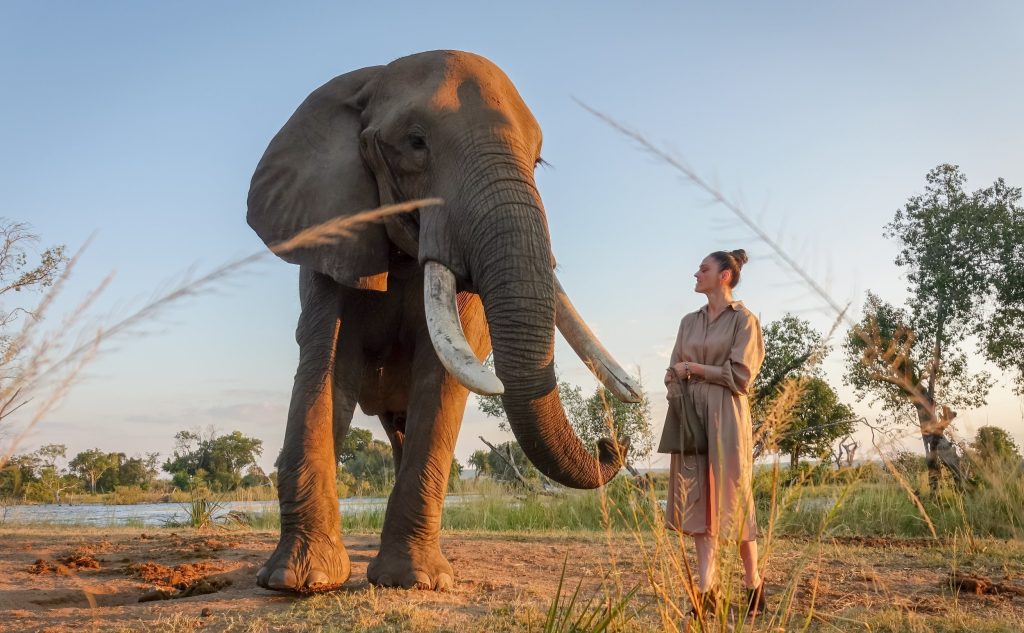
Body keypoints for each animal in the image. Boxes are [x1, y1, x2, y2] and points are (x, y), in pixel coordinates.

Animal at [247, 49, 642, 592]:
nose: (610, 442)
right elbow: (325, 365)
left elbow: (442, 377)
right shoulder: (330, 228)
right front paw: (297, 581)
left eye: (537, 161)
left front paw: (414, 581)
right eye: (416, 143)